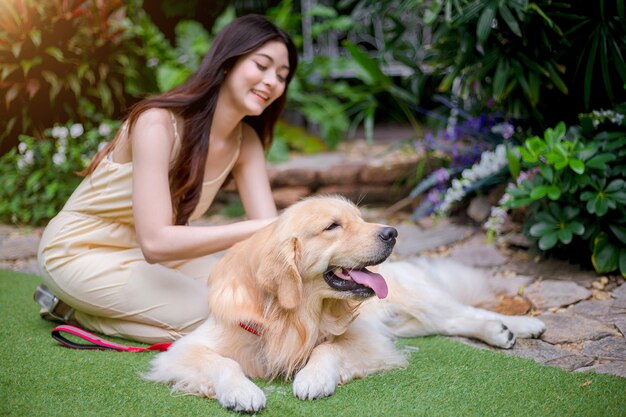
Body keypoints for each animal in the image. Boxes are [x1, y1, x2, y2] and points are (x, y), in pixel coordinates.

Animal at [145, 197, 540, 412]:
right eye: (333, 226)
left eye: (361, 219)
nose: (392, 232)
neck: (293, 314)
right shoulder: (183, 350)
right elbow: (223, 363)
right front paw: (242, 392)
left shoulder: (370, 339)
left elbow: (328, 348)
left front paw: (313, 378)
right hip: (411, 322)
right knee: (453, 321)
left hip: (418, 300)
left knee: (466, 312)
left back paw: (519, 326)